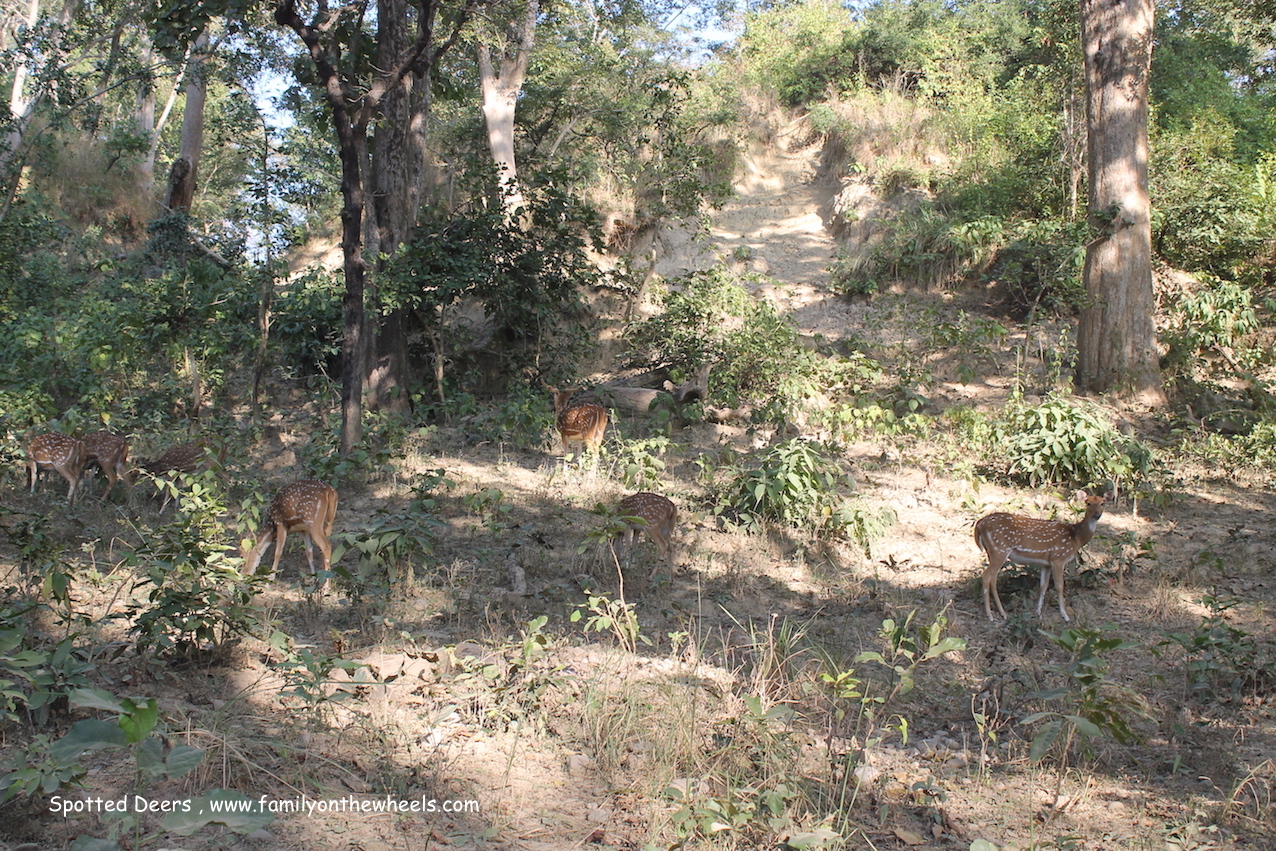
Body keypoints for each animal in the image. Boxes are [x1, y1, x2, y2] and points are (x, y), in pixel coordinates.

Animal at [969, 489, 1112, 622]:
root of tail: (979, 524)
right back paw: (990, 615)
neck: (1076, 538)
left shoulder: (1046, 563)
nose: (1097, 515)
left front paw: (1038, 613)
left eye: (1102, 503)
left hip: (993, 552)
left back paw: (1003, 613)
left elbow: (1043, 585)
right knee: (986, 576)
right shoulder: (1058, 558)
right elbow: (1059, 586)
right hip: (999, 549)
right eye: (1088, 503)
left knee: (993, 578)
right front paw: (1065, 616)